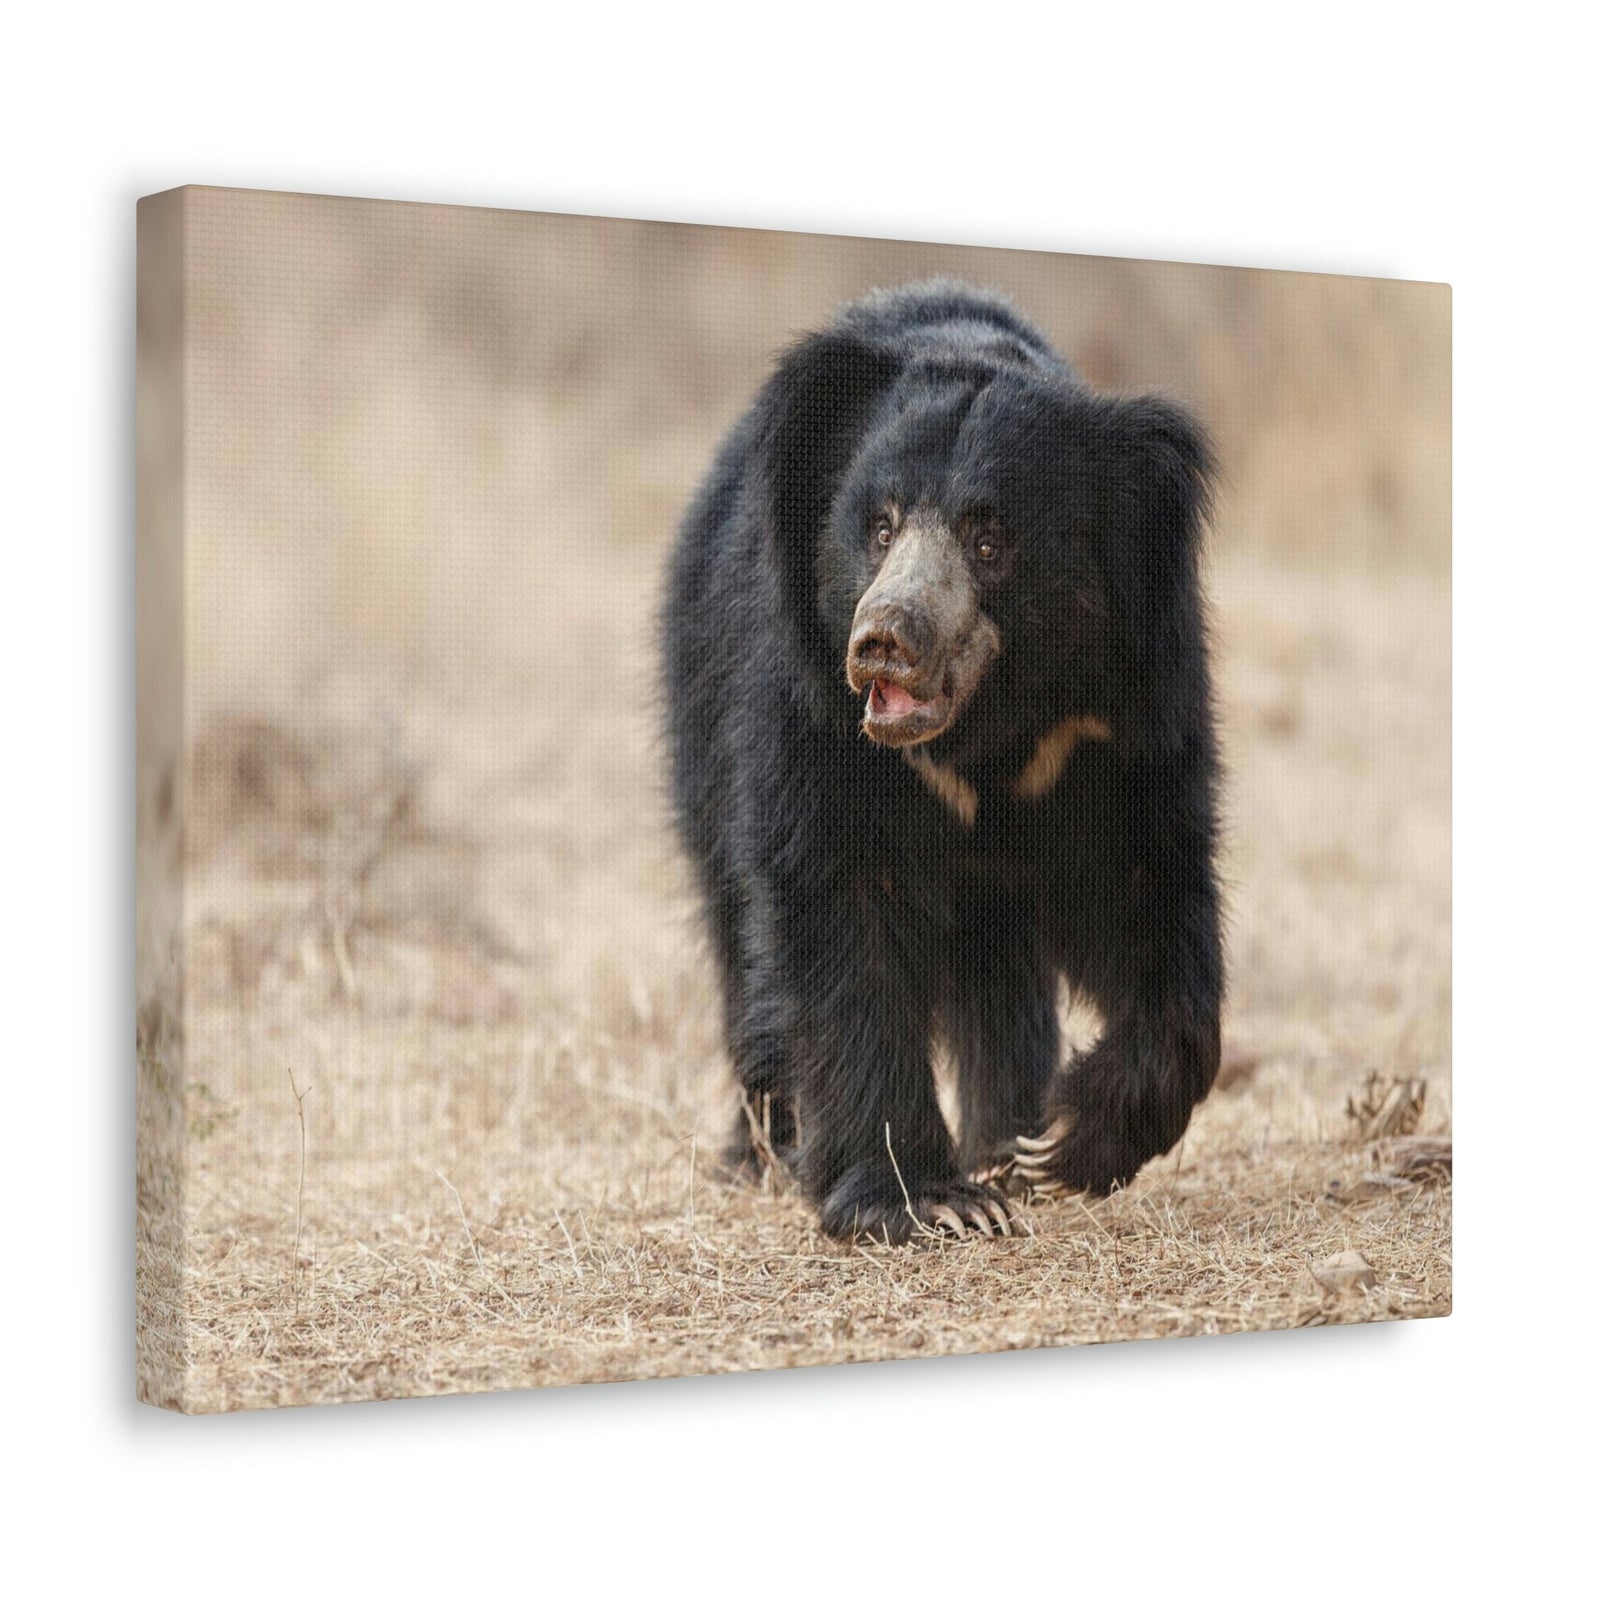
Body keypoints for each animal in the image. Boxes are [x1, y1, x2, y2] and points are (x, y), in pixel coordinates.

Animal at [661, 280, 1223, 1243]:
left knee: (1001, 977)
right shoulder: (808, 706)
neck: (989, 729)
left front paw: (1063, 1141)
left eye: (989, 540)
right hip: (699, 718)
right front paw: (928, 1200)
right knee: (740, 932)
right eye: (879, 527)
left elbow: (1150, 885)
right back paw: (766, 1149)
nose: (885, 642)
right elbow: (839, 907)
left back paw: (1007, 1138)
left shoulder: (1122, 714)